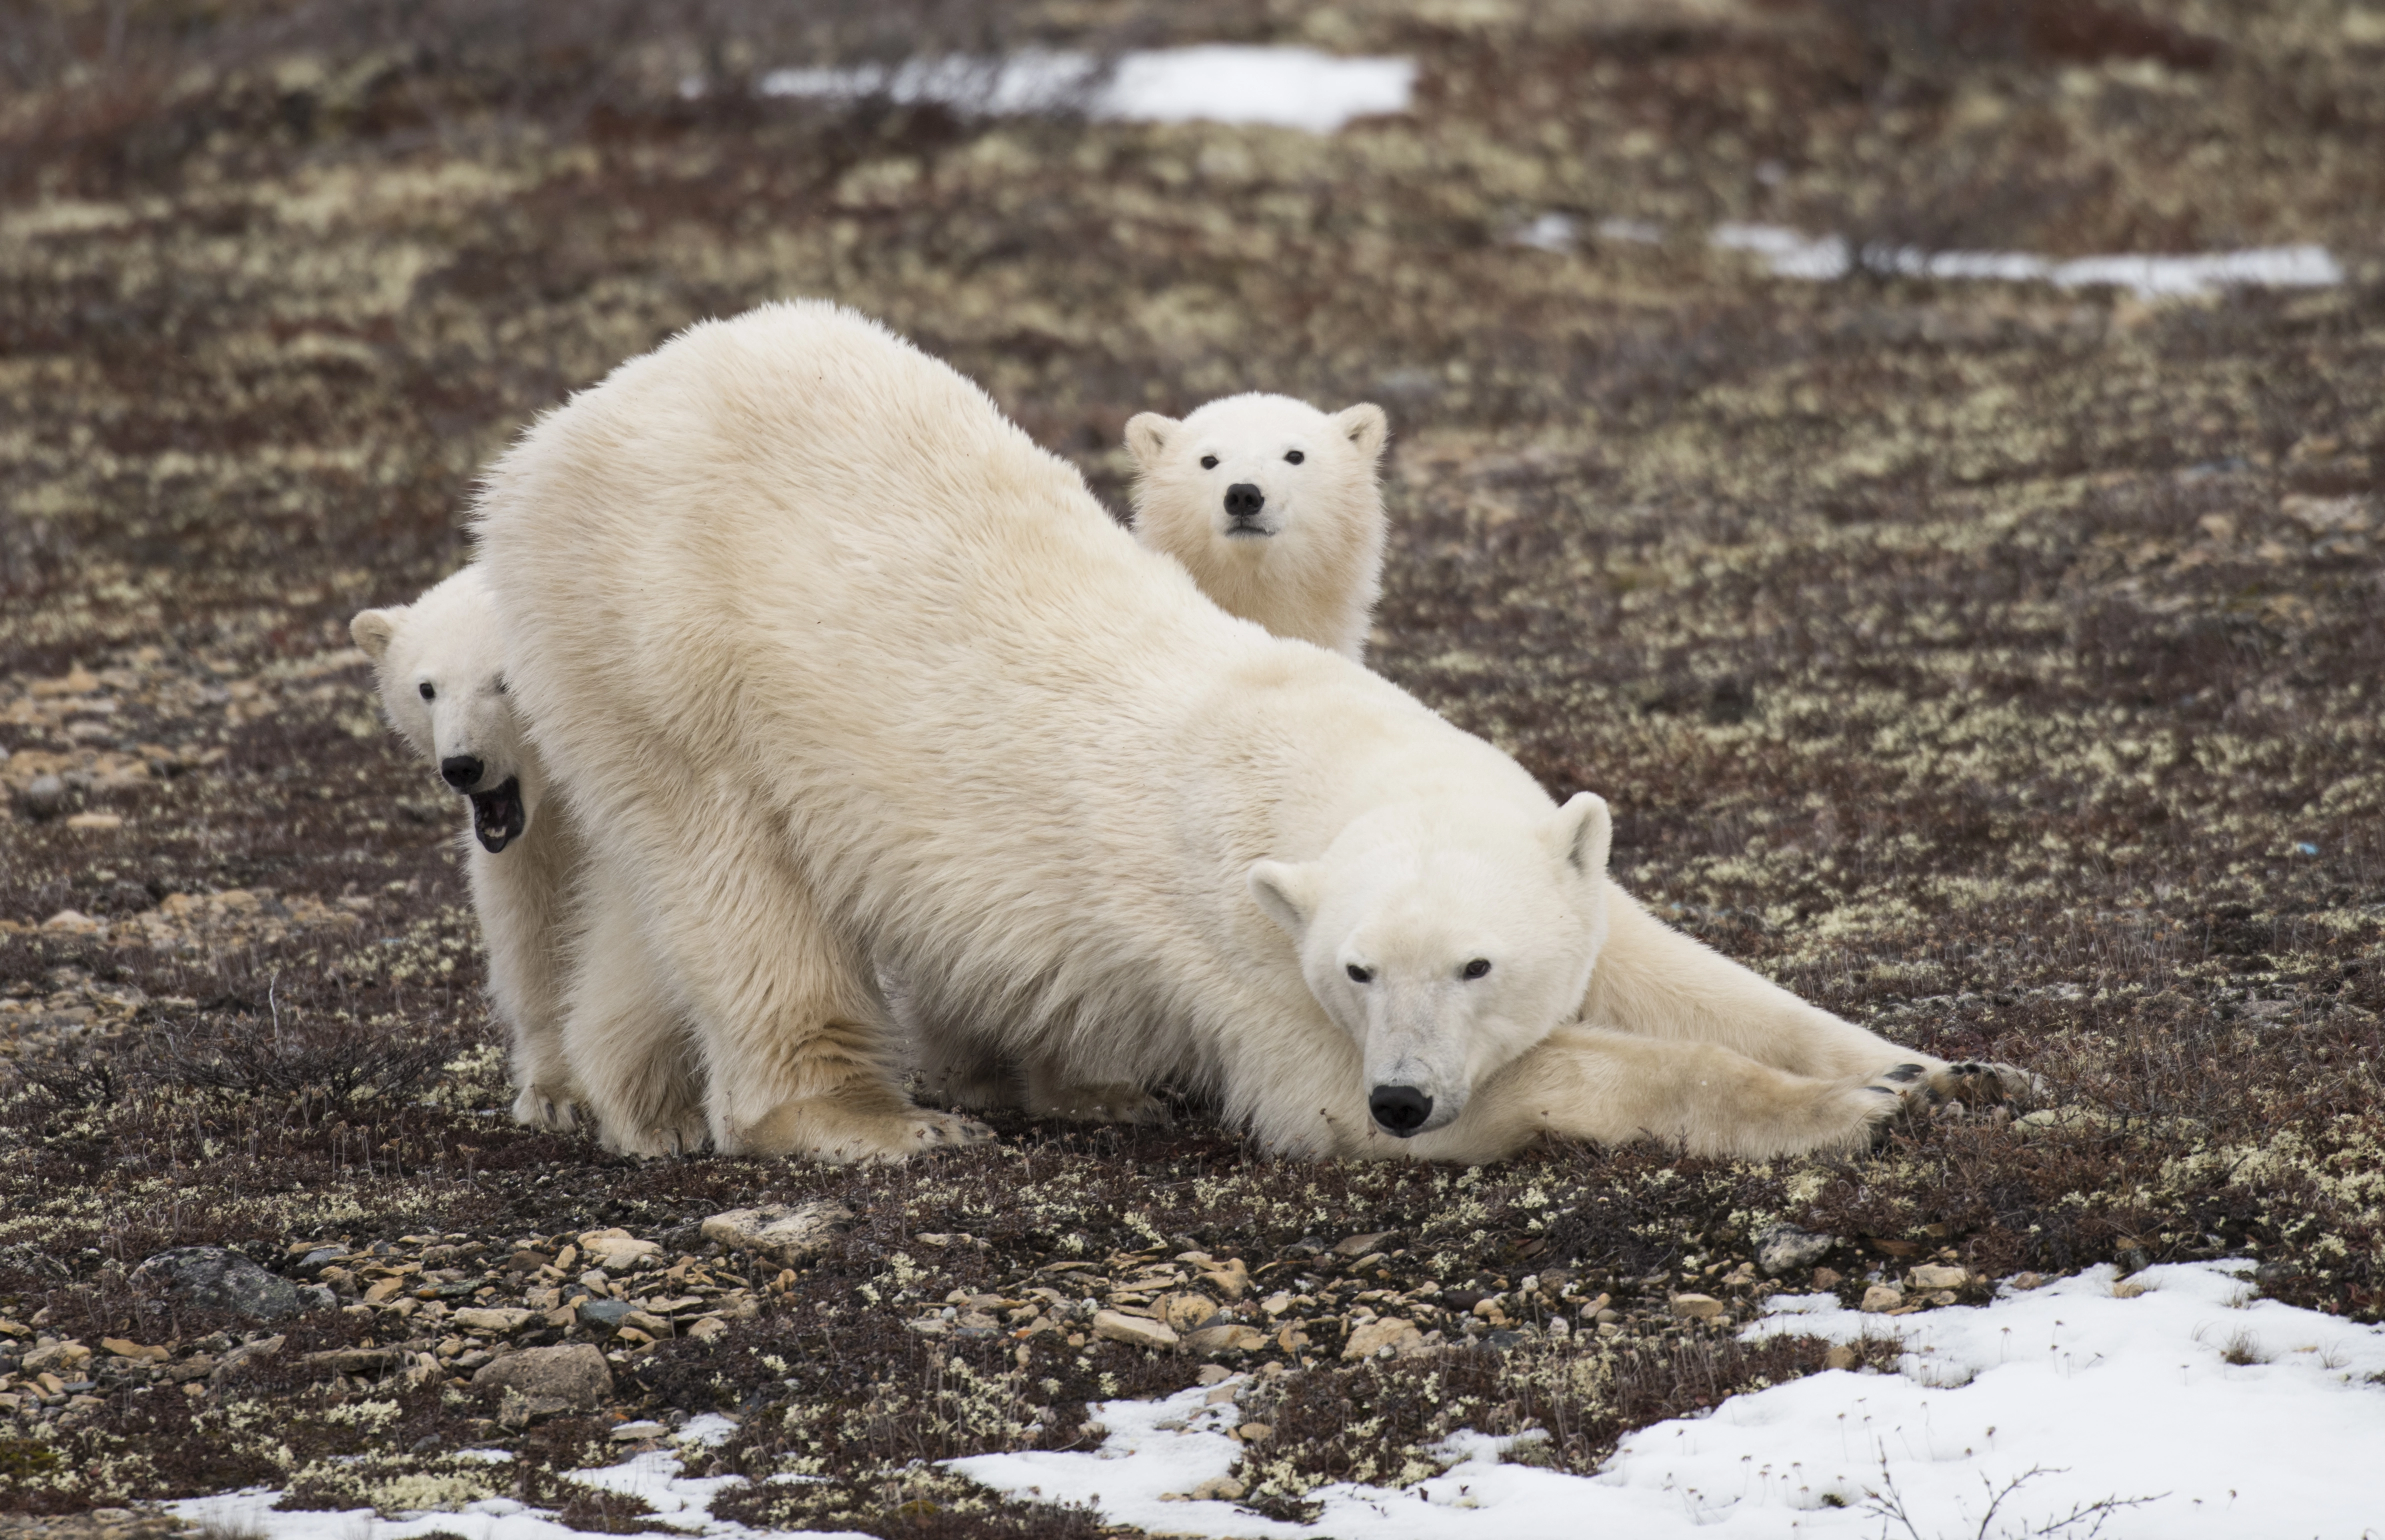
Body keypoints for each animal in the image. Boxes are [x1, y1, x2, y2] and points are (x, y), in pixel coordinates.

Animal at [348, 567, 639, 1135]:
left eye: (505, 682)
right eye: (427, 688)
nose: (463, 765)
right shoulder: (532, 838)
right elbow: (534, 926)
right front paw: (553, 1095)